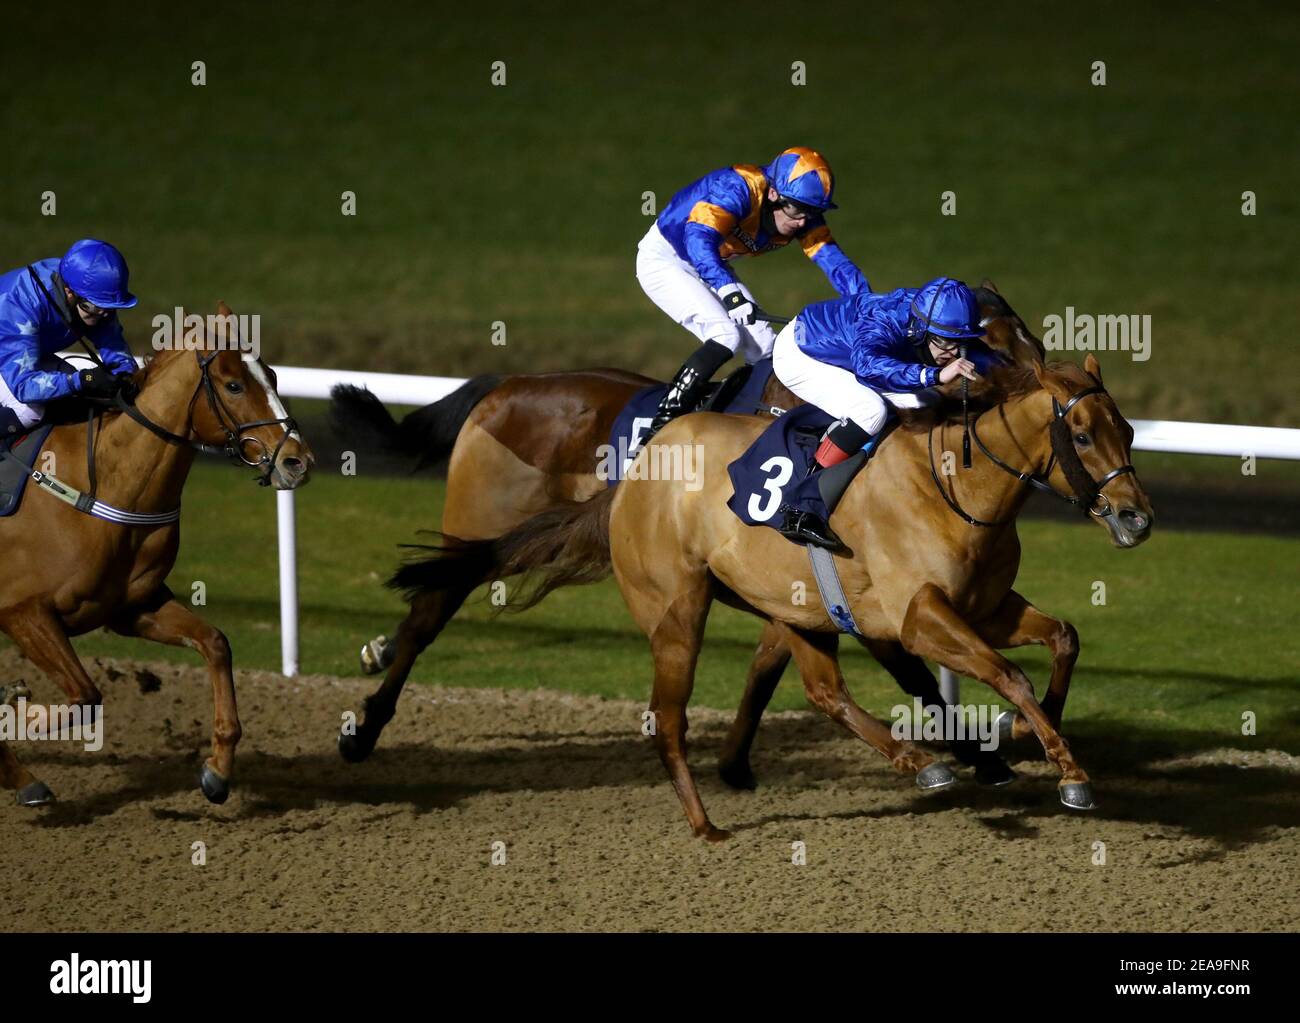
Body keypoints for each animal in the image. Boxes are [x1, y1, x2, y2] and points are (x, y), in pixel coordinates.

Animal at [0, 304, 313, 805]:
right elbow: (86, 696)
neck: (102, 485)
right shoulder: (21, 610)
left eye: (274, 376)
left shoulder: (131, 606)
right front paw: (17, 710)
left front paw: (217, 769)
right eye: (234, 385)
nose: (298, 462)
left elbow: (215, 643)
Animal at [392, 343, 1149, 842]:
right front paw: (1065, 768)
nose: (1136, 517)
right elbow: (1007, 673)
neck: (953, 484)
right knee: (670, 718)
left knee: (823, 690)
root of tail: (630, 476)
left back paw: (918, 761)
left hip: (798, 607)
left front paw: (1031, 733)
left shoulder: (982, 608)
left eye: (1128, 429)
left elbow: (1063, 638)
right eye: (1082, 434)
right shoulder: (920, 616)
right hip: (677, 612)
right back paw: (704, 822)